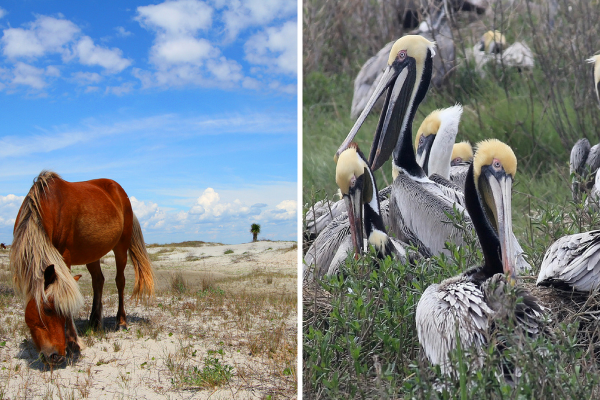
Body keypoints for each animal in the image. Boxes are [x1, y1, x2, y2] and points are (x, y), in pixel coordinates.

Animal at [9, 170, 155, 364]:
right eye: (48, 309)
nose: (55, 356)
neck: (46, 206)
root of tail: (121, 192)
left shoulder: (64, 255)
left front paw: (73, 342)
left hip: (121, 248)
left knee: (120, 281)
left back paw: (121, 322)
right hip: (92, 253)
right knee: (98, 281)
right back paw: (94, 321)